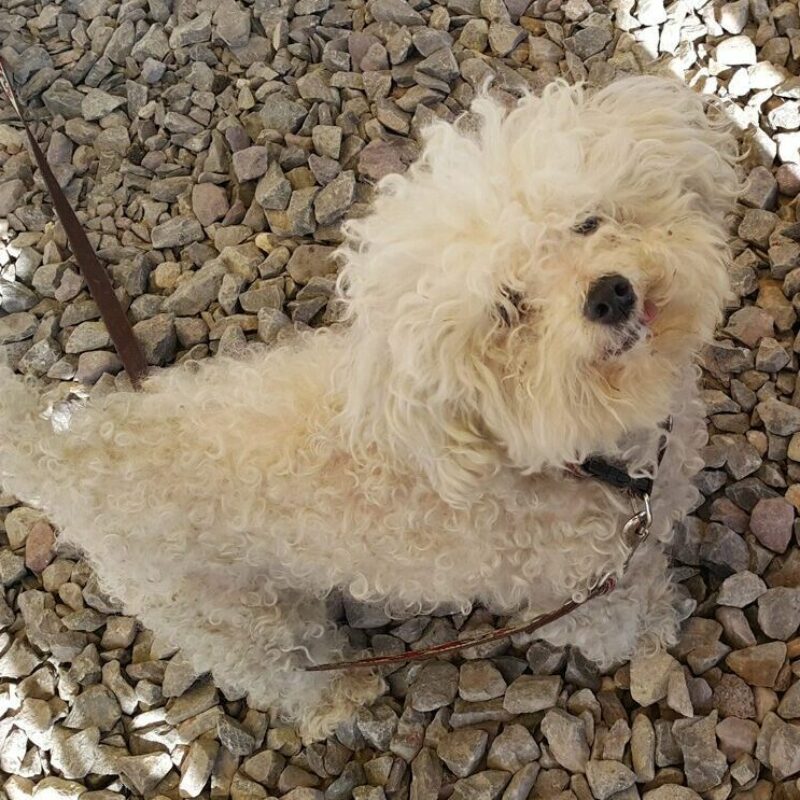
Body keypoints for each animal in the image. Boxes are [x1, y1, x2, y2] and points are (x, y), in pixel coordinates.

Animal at [0, 75, 736, 736]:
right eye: (509, 309)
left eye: (588, 220)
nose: (609, 294)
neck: (595, 462)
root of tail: (73, 449)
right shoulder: (575, 591)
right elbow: (618, 625)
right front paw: (656, 631)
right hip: (229, 612)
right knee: (278, 666)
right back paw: (339, 699)